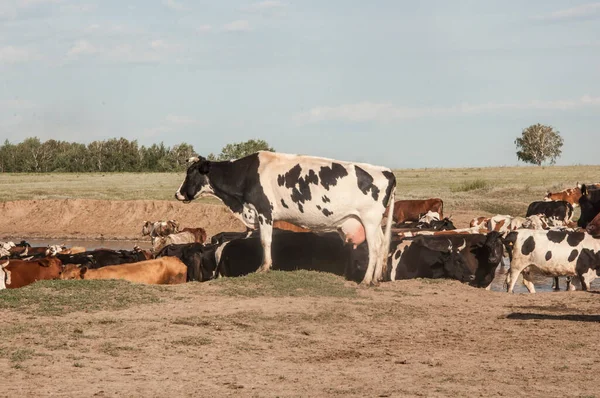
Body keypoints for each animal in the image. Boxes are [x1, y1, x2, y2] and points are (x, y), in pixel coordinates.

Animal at [176, 151, 396, 284]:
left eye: (191, 173)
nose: (178, 194)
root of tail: (386, 171)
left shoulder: (264, 211)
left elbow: (265, 241)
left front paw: (264, 267)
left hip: (369, 220)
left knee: (374, 248)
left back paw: (366, 280)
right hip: (374, 224)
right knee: (381, 245)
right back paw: (376, 278)